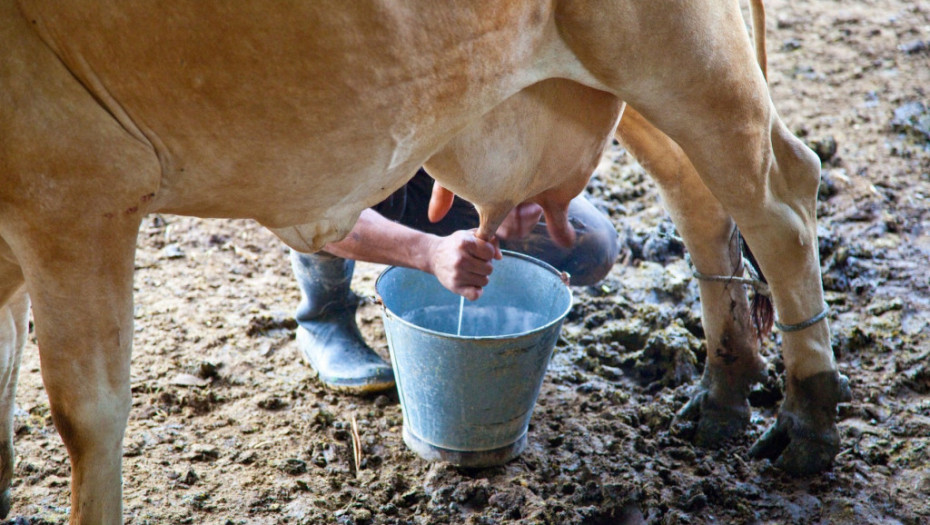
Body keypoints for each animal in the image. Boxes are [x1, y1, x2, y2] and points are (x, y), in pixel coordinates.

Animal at [0, 0, 848, 520]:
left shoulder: (75, 193)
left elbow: (85, 413)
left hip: (685, 55)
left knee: (781, 198)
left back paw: (805, 416)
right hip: (618, 74)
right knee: (701, 195)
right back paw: (722, 393)